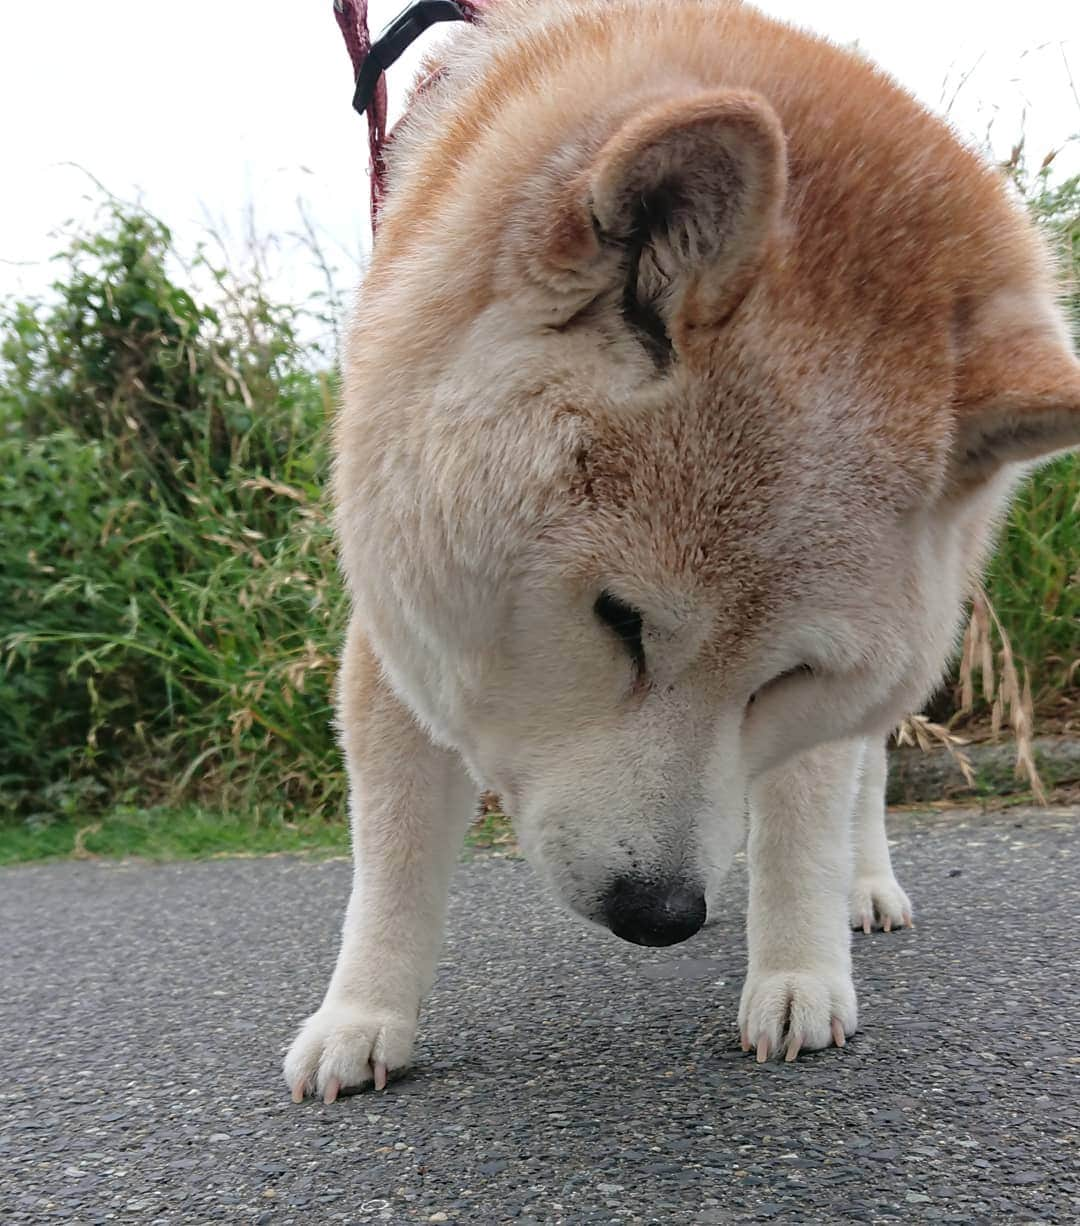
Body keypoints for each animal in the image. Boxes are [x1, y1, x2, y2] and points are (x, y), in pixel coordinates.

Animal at [281, 0, 1073, 1103]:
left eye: (786, 676)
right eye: (620, 621)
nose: (660, 915)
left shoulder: (815, 712)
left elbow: (803, 827)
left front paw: (796, 975)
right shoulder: (402, 630)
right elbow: (392, 859)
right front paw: (361, 1017)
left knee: (864, 777)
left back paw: (864, 884)